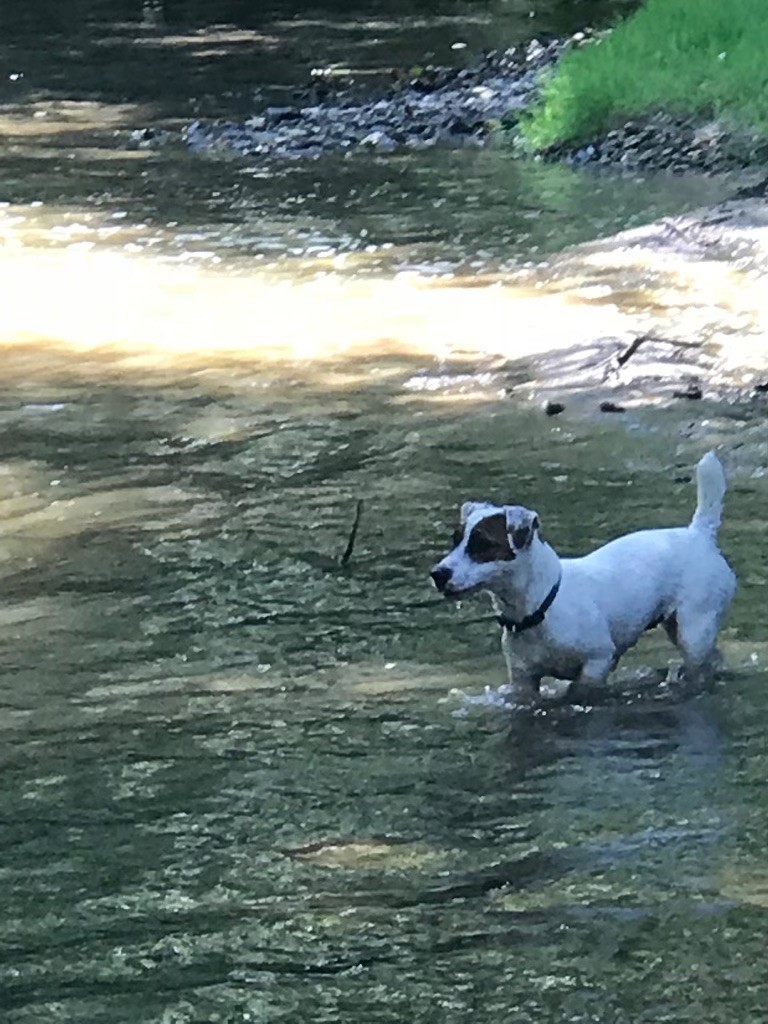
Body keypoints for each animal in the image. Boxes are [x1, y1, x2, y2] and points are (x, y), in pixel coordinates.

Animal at [434, 456, 741, 704]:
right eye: (455, 539)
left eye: (482, 544)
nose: (438, 574)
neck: (542, 606)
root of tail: (699, 534)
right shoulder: (523, 679)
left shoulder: (598, 660)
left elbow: (582, 687)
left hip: (694, 629)